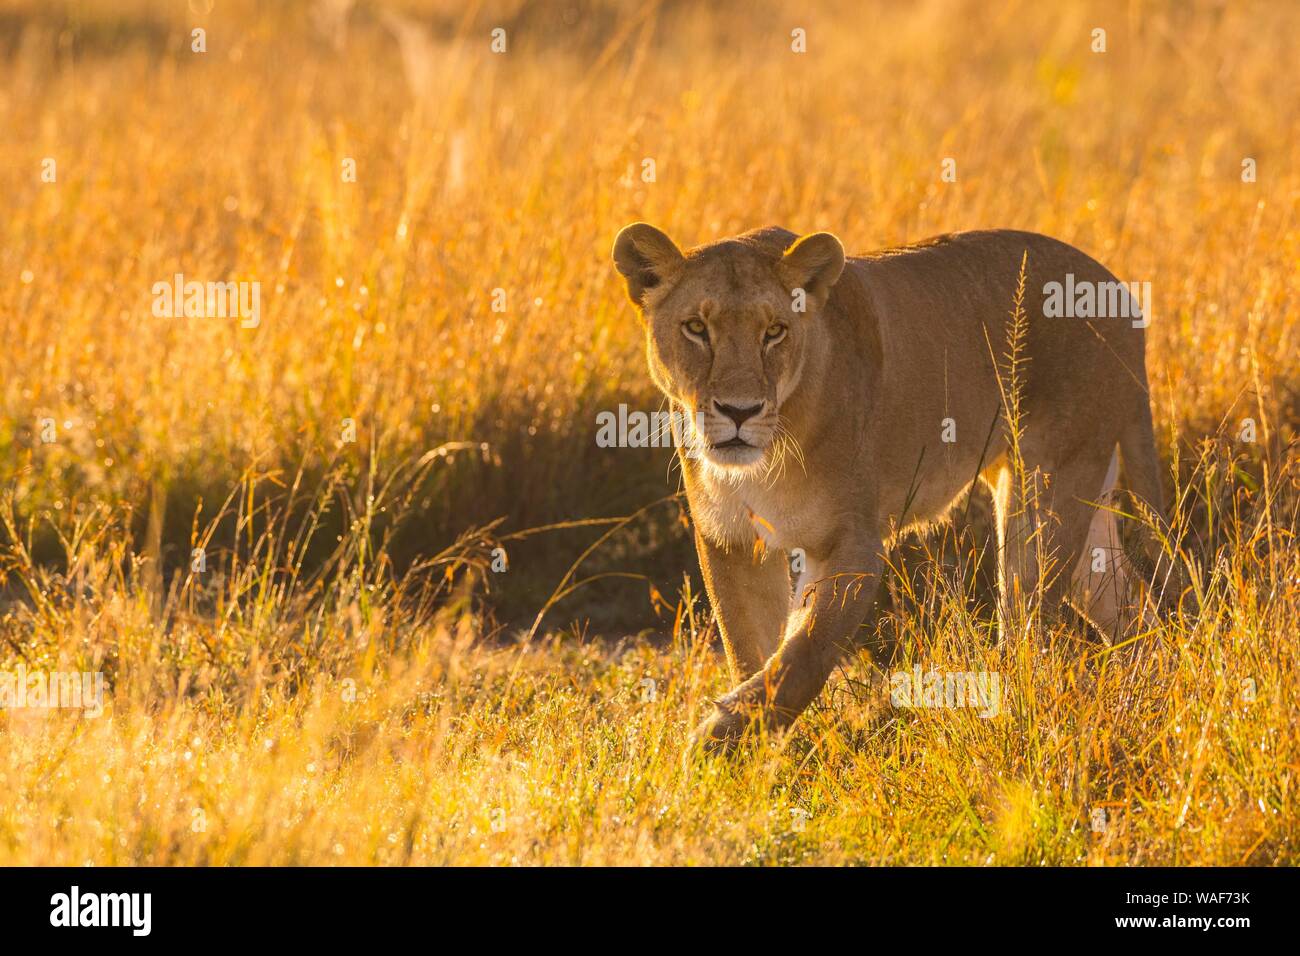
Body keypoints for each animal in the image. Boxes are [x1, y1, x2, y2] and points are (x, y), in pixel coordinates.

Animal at [611, 222, 1172, 755]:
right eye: (696, 328)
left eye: (774, 331)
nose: (739, 411)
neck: (765, 459)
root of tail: (1120, 296)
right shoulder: (731, 540)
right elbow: (749, 647)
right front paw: (766, 749)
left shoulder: (853, 543)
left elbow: (803, 653)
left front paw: (717, 740)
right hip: (1080, 501)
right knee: (1130, 604)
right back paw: (1148, 694)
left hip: (1044, 495)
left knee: (1029, 629)